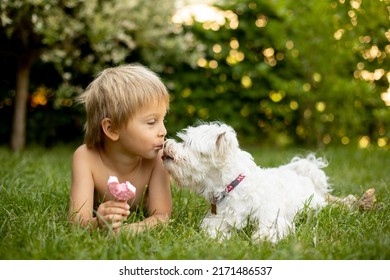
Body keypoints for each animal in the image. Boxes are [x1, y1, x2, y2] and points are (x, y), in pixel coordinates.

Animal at [161, 122, 350, 243]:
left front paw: (262, 238)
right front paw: (221, 238)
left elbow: (270, 228)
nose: (165, 143)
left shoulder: (272, 217)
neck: (231, 186)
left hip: (314, 203)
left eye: (187, 143)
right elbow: (211, 230)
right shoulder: (218, 219)